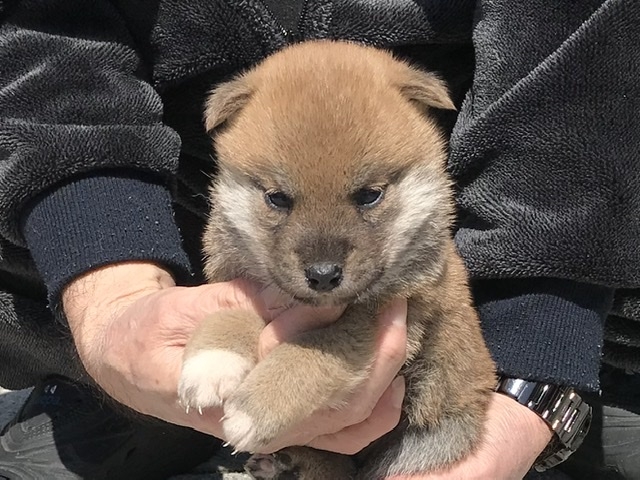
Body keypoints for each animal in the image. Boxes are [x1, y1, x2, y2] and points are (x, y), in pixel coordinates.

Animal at [178, 40, 496, 479]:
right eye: (277, 198)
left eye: (369, 195)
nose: (324, 274)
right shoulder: (244, 284)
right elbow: (232, 313)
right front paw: (211, 361)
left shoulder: (380, 320)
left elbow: (313, 350)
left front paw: (256, 408)